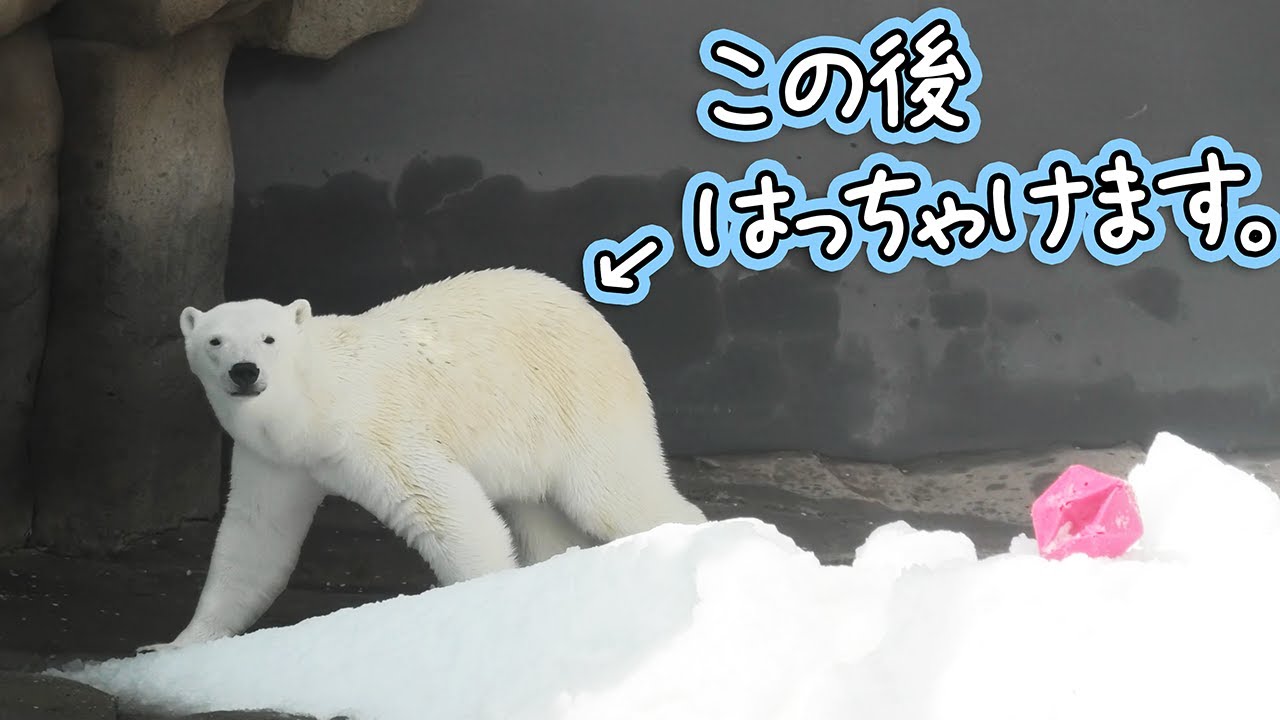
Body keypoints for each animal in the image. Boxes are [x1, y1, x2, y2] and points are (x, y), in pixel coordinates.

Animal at [140, 267, 706, 652]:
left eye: (269, 338)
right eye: (214, 340)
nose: (245, 371)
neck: (311, 403)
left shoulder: (374, 430)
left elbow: (446, 511)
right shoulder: (274, 460)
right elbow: (253, 539)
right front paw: (173, 644)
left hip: (575, 401)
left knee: (612, 492)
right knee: (540, 513)